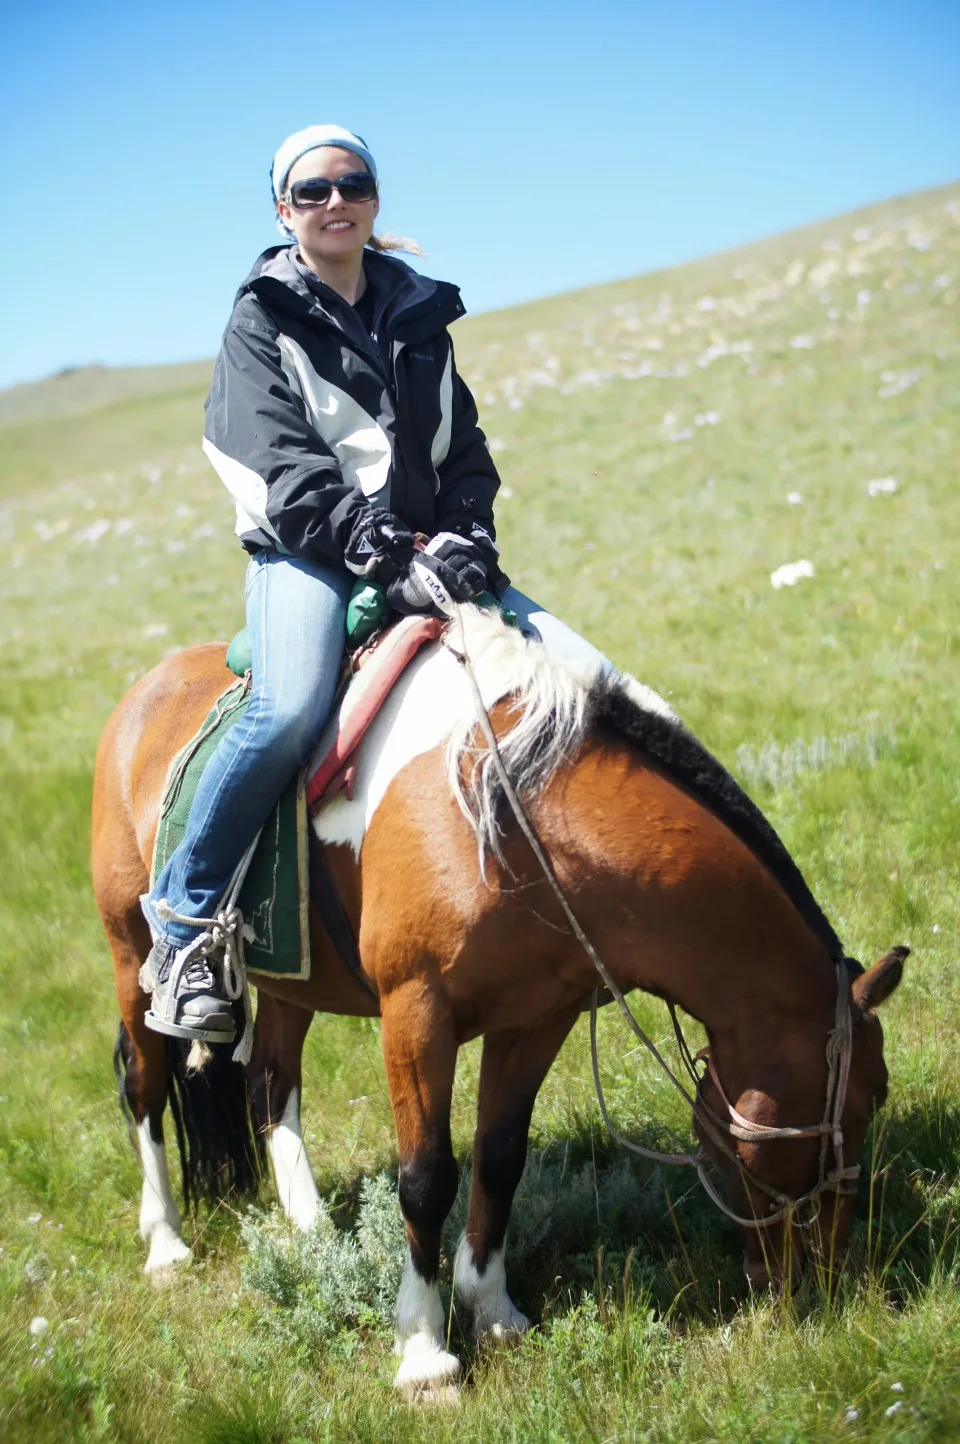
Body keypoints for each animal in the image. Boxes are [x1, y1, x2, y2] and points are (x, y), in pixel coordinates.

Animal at [88, 606, 900, 1397]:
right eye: (867, 1102)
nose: (830, 1274)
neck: (514, 816)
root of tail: (142, 694)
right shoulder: (416, 1013)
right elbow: (425, 1179)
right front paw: (424, 1353)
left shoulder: (538, 1019)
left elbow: (500, 1158)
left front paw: (494, 1309)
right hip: (131, 953)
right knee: (144, 1083)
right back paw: (166, 1242)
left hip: (292, 980)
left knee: (270, 1081)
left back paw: (313, 1231)